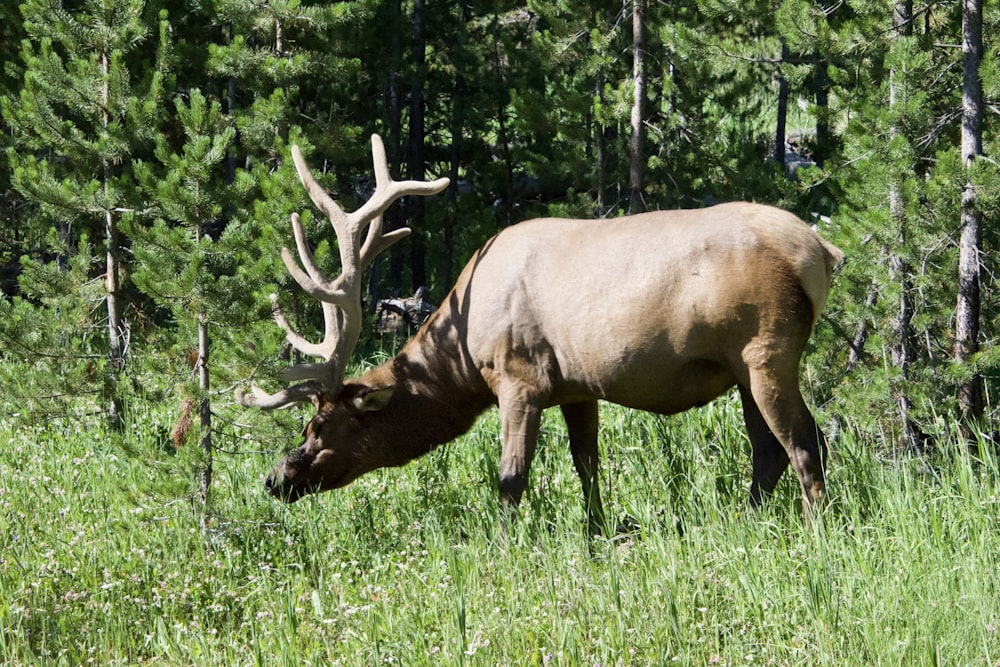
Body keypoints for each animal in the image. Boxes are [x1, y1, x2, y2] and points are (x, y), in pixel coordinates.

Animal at [242, 136, 844, 536]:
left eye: (320, 424)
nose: (275, 478)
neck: (461, 358)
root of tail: (821, 252)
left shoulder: (519, 379)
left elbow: (511, 477)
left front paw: (506, 546)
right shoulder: (578, 387)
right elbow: (587, 466)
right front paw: (596, 534)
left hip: (766, 352)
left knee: (804, 442)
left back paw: (818, 536)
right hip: (742, 368)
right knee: (767, 452)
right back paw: (748, 524)